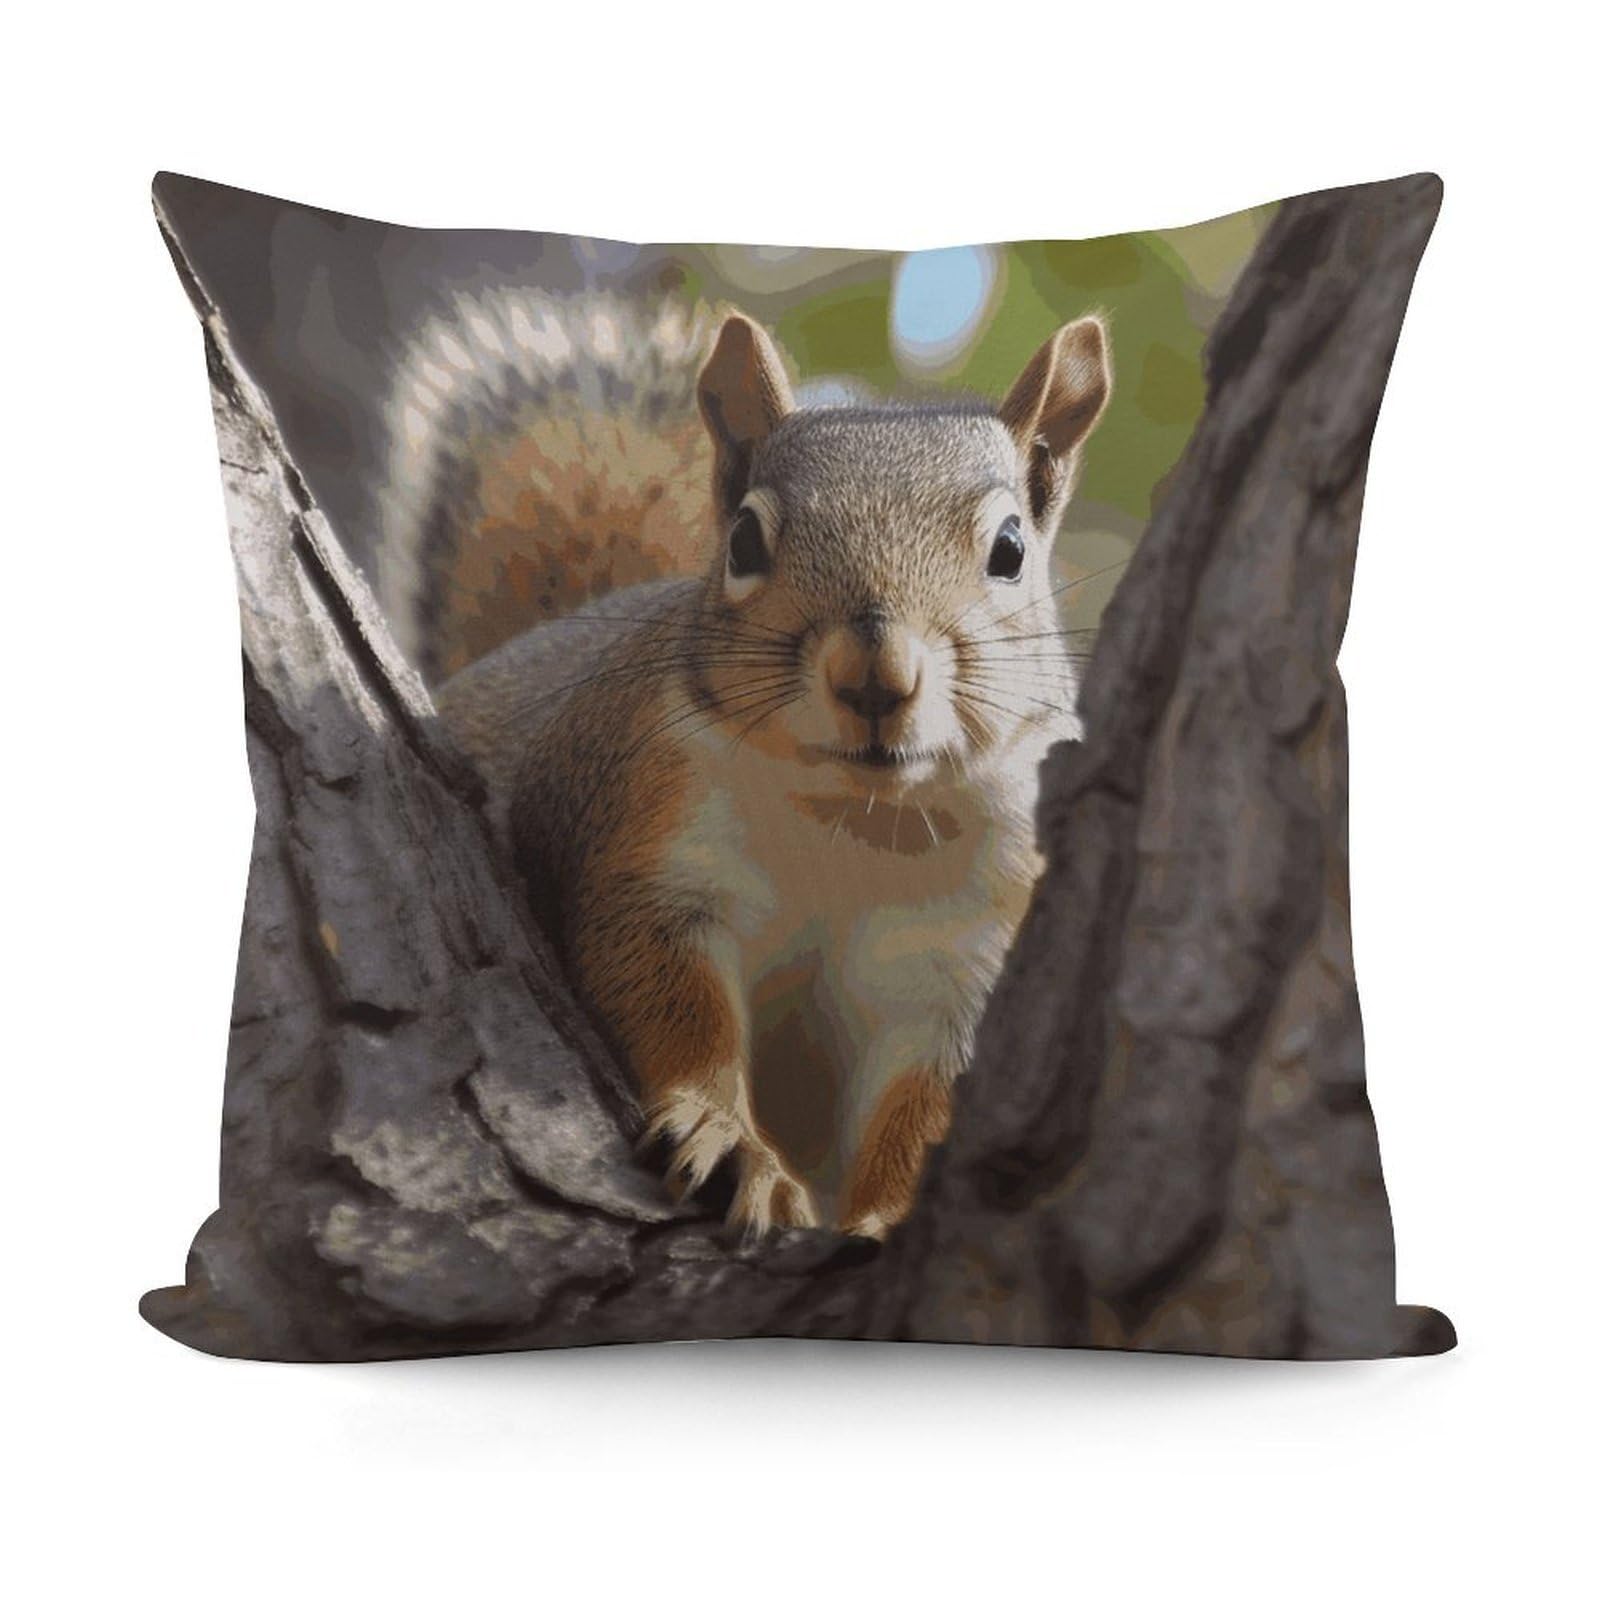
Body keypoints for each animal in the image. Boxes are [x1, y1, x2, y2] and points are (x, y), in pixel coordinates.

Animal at [382, 287, 1112, 1238]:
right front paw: (730, 1141)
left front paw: (887, 1219)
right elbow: (667, 995)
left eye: (1012, 551)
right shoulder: (657, 843)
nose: (873, 676)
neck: (856, 820)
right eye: (744, 541)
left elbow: (928, 1102)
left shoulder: (969, 950)